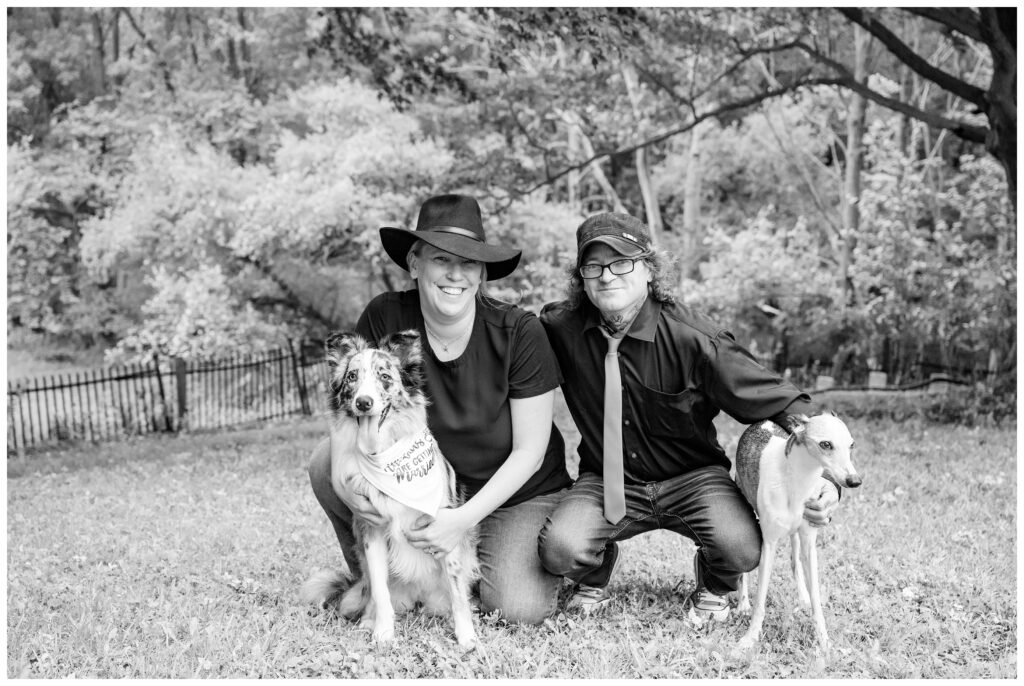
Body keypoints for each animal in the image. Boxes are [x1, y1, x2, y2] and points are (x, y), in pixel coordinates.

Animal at [299, 331, 479, 651]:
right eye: (352, 377)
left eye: (384, 376)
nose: (363, 402)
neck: (388, 455)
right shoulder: (371, 530)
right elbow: (381, 592)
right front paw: (383, 632)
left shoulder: (446, 533)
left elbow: (458, 593)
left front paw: (466, 636)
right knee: (372, 592)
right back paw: (369, 620)